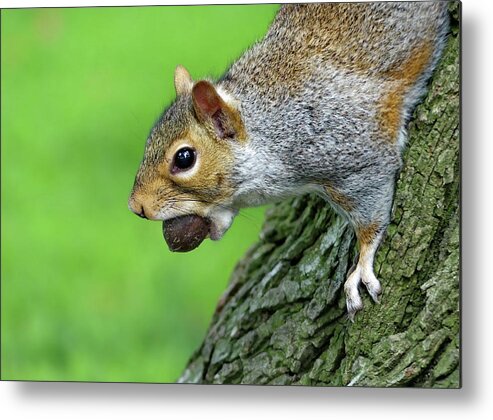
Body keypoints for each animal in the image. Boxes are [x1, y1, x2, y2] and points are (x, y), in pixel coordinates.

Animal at [128, 2, 450, 318]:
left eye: (184, 158)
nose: (136, 207)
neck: (271, 128)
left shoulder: (354, 149)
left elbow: (371, 213)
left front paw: (361, 264)